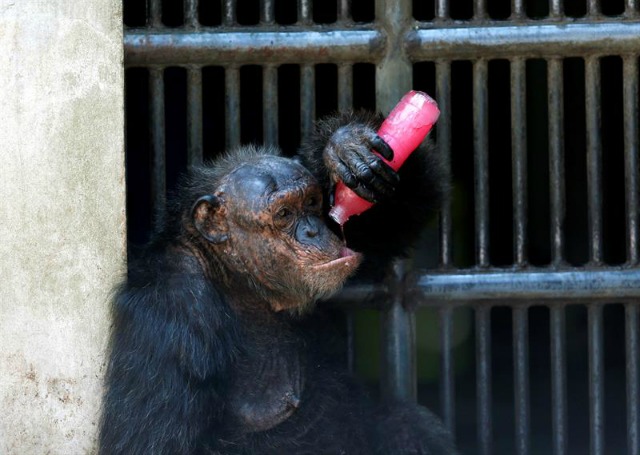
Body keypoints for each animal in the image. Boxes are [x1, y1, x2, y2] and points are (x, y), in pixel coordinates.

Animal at [100, 111, 456, 455]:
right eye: (284, 213)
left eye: (311, 203)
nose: (314, 230)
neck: (236, 282)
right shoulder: (170, 312)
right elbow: (153, 444)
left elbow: (388, 226)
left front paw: (345, 146)